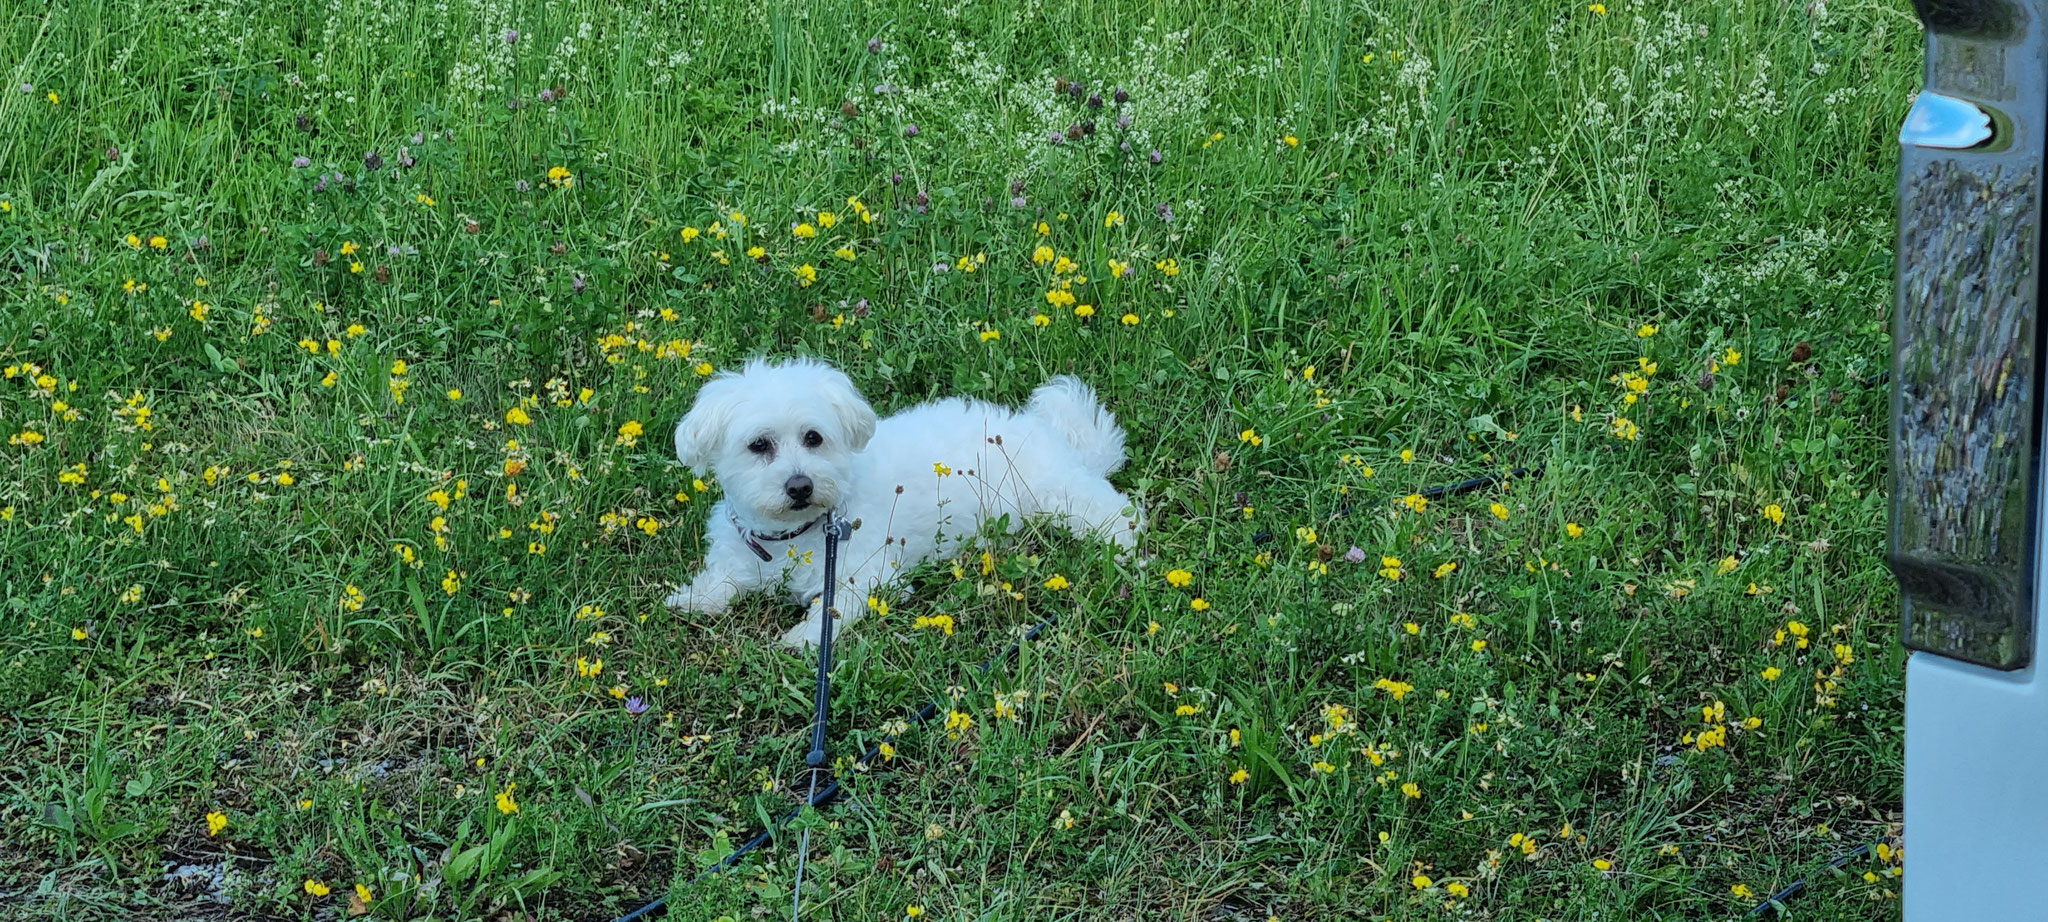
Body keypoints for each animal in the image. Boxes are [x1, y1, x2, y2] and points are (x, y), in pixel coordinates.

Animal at [663, 356, 1138, 643]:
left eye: (813, 437)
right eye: (758, 445)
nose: (800, 486)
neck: (795, 536)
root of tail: (1050, 433)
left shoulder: (867, 576)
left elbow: (833, 608)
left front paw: (804, 638)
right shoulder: (741, 552)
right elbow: (724, 580)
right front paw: (694, 598)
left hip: (1058, 492)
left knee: (1114, 512)